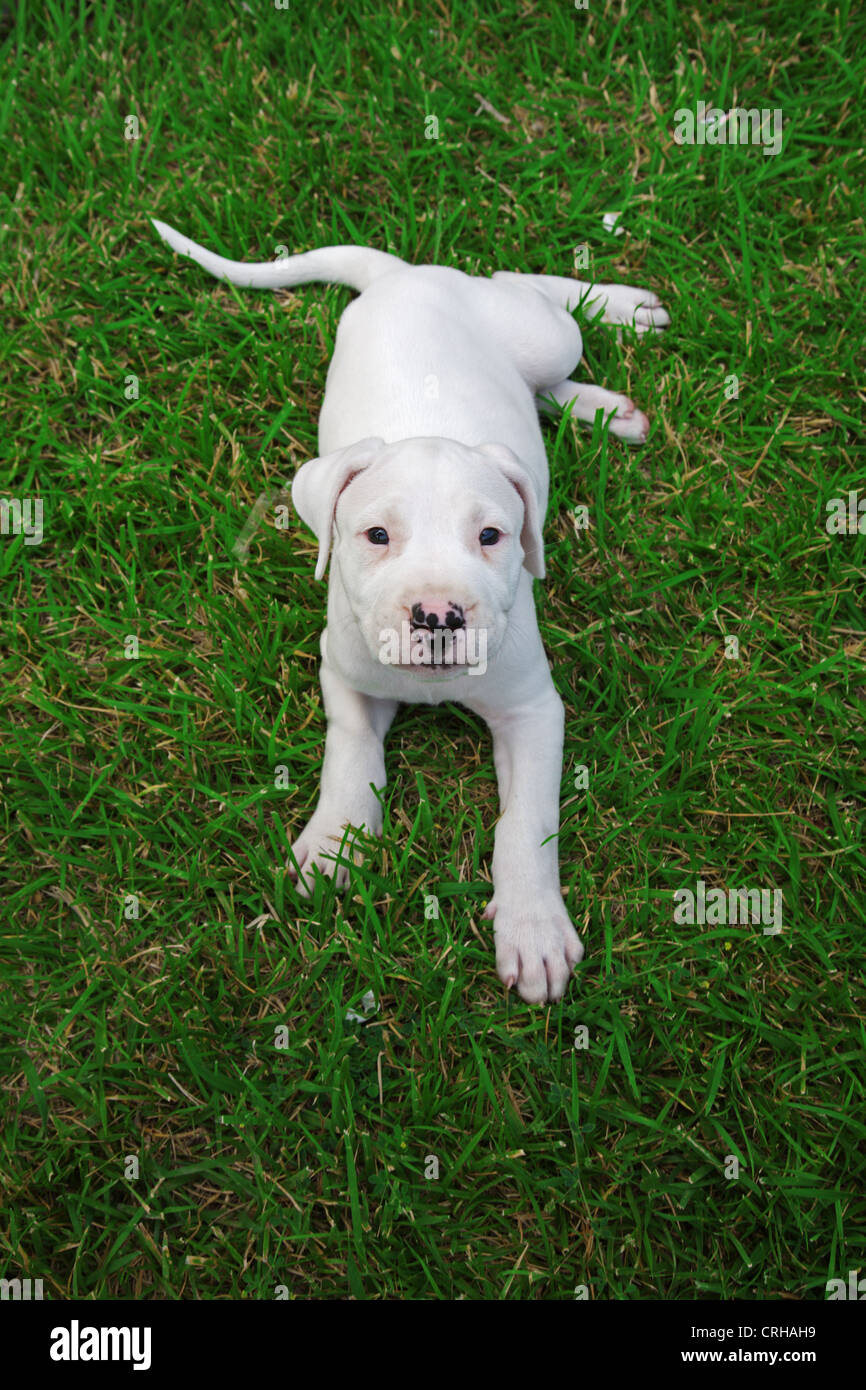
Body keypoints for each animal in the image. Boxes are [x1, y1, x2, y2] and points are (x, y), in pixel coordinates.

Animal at [152, 216, 670, 1000]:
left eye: (490, 537)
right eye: (375, 536)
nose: (437, 615)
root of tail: (404, 276)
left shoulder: (532, 711)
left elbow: (525, 823)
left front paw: (533, 927)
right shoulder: (342, 671)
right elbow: (349, 748)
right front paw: (335, 841)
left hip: (537, 330)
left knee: (529, 297)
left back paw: (621, 310)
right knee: (538, 383)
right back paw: (601, 402)